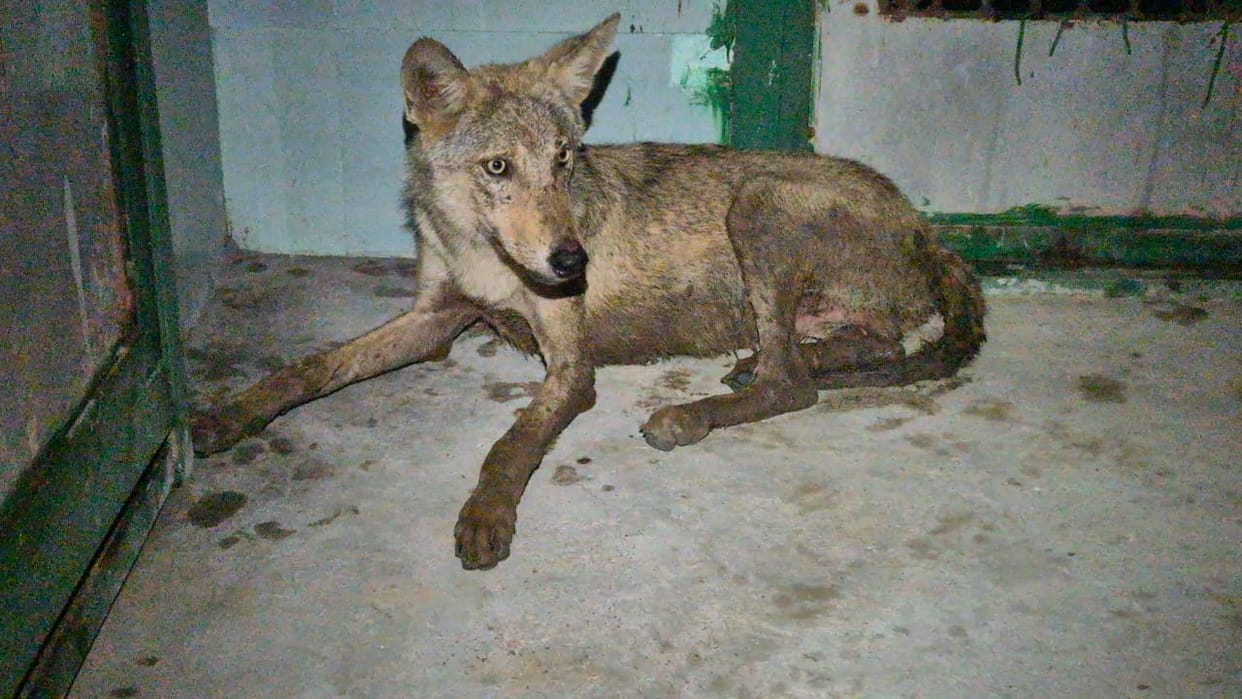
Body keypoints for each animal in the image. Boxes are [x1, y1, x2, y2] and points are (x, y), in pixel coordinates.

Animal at [191, 13, 986, 570]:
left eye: (565, 158)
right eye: (499, 167)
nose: (574, 259)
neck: (484, 256)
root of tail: (927, 226)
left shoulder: (572, 368)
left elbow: (509, 443)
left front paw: (487, 513)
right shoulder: (434, 319)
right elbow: (311, 366)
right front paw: (230, 414)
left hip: (756, 201)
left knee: (795, 382)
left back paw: (691, 413)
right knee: (849, 351)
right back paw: (758, 364)